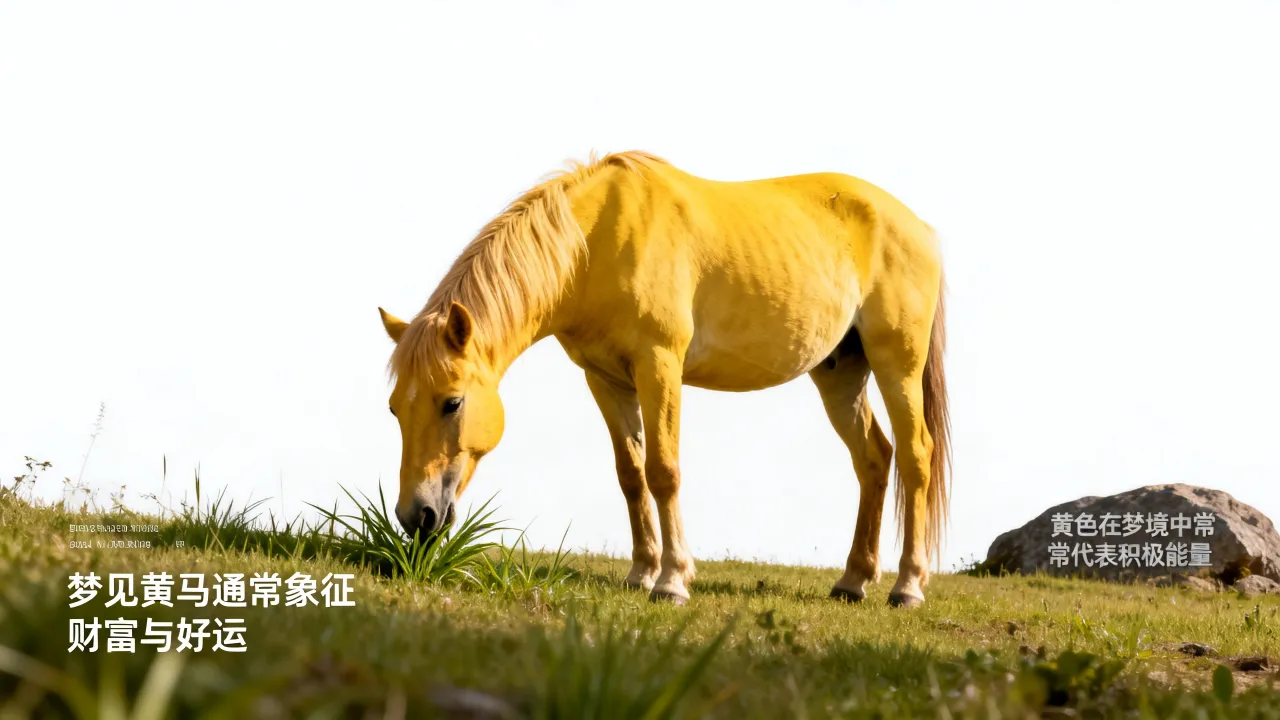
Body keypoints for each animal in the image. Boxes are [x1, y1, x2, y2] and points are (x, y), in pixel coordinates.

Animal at [377, 151, 951, 608]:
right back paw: (853, 581)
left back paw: (907, 588)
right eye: (394, 409)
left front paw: (672, 582)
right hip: (840, 372)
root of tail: (920, 225)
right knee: (874, 458)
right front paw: (641, 573)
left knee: (915, 456)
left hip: (895, 364)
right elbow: (631, 475)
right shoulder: (605, 380)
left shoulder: (660, 366)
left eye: (452, 403)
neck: (596, 242)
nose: (415, 516)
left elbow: (664, 470)